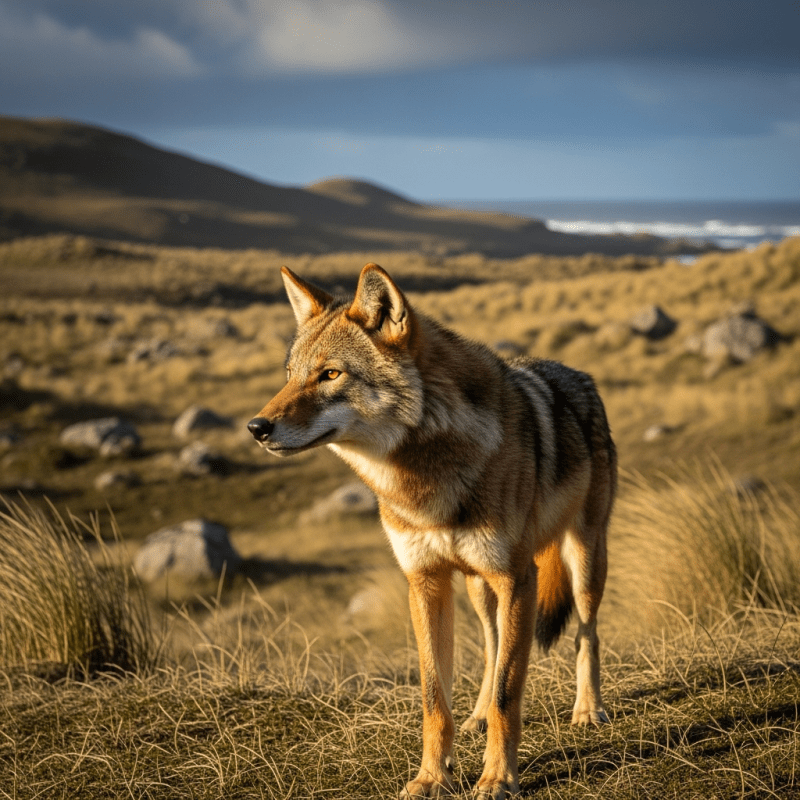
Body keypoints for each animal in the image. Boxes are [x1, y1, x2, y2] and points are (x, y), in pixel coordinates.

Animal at [248, 263, 617, 798]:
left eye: (331, 374)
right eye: (291, 375)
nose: (256, 427)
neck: (424, 483)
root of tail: (578, 374)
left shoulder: (517, 577)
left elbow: (510, 693)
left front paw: (497, 778)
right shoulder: (425, 583)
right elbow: (434, 697)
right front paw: (431, 777)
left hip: (582, 560)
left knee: (585, 634)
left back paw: (588, 710)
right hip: (480, 588)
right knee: (492, 647)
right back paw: (477, 717)